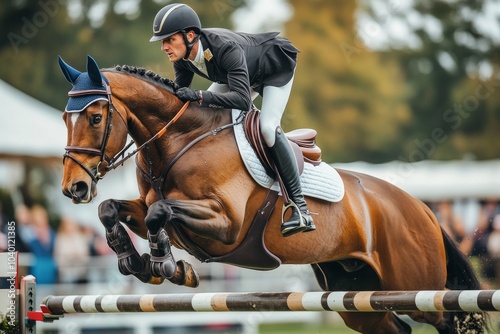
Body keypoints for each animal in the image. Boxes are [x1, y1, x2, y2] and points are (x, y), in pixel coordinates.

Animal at [57, 56, 484, 332]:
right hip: (356, 293)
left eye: (95, 117)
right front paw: (136, 261)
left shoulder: (225, 224)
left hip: (418, 286)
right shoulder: (150, 208)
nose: (73, 188)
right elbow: (114, 209)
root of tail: (422, 209)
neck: (180, 140)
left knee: (446, 319)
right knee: (393, 326)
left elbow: (159, 212)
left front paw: (166, 265)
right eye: (65, 117)